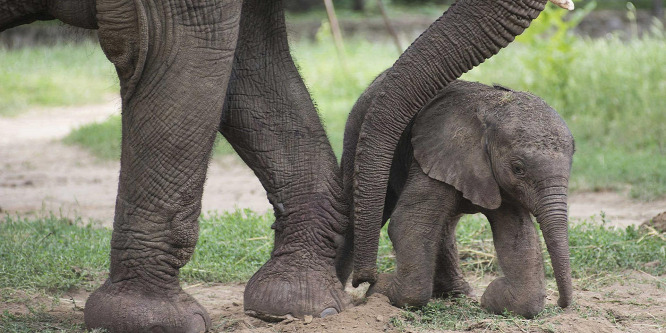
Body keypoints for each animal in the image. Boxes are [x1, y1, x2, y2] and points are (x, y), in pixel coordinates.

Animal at [340, 77, 572, 316]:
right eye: (518, 169)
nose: (561, 303)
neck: (491, 113)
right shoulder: (439, 155)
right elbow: (410, 223)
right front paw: (378, 290)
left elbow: (516, 234)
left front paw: (491, 297)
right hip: (358, 134)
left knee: (445, 225)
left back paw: (458, 293)